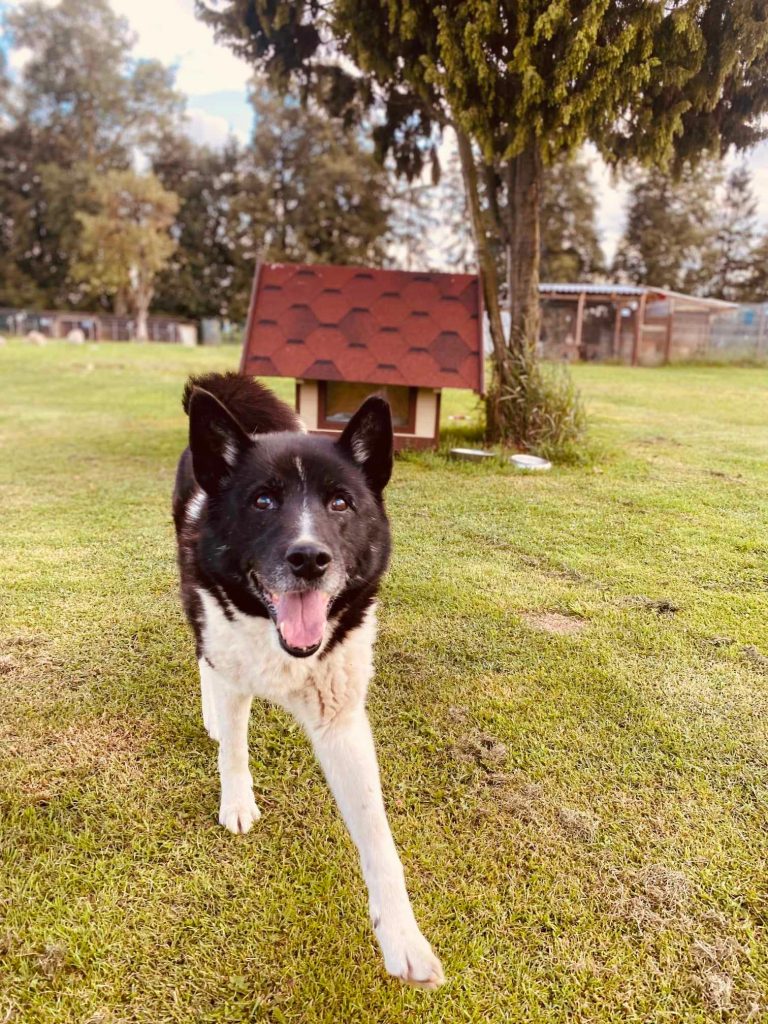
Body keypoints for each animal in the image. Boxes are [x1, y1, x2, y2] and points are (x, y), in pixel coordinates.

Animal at [172, 372, 444, 988]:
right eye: (262, 500)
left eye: (340, 502)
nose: (309, 558)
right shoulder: (230, 653)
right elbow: (235, 746)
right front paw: (237, 801)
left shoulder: (341, 718)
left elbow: (377, 835)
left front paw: (403, 937)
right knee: (205, 657)